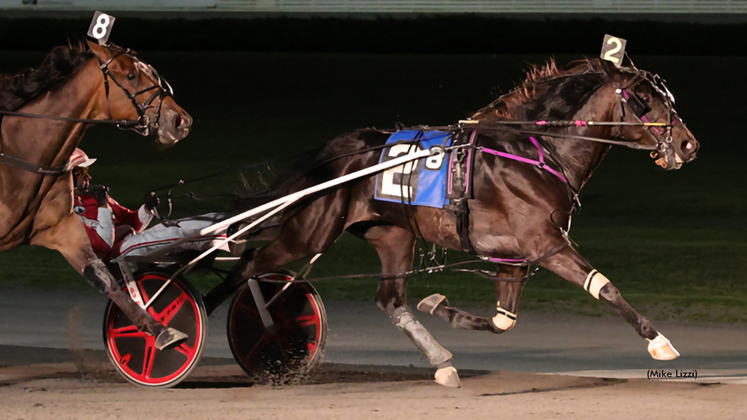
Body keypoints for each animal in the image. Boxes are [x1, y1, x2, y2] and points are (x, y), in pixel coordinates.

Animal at [0, 41, 193, 350]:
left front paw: (161, 330)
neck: (20, 152)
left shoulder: (62, 229)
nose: (180, 120)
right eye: (130, 76)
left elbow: (101, 276)